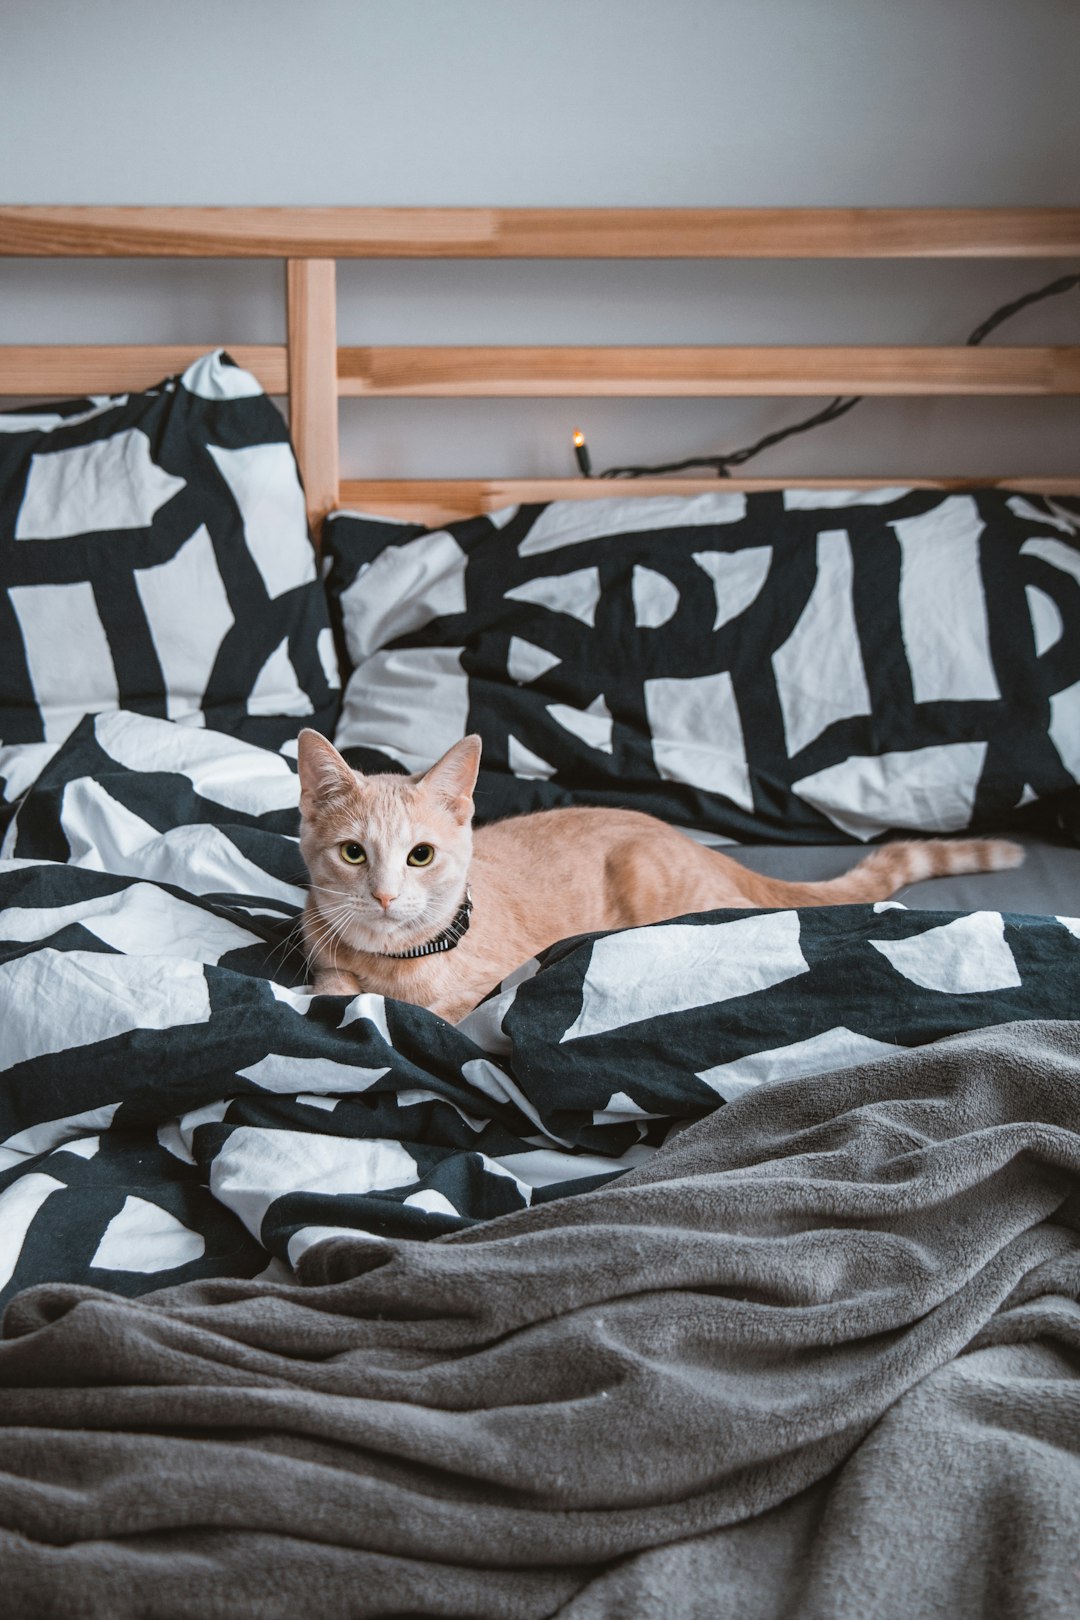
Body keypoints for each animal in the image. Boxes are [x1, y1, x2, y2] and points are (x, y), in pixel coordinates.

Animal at [299, 735, 1029, 1023]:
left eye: (420, 856)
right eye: (355, 854)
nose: (385, 895)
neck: (397, 961)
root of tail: (690, 842)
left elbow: (430, 1014)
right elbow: (333, 987)